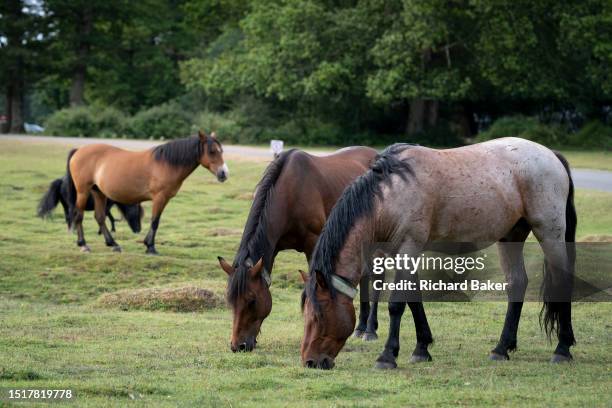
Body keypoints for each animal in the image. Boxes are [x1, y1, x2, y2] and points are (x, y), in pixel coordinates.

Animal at [66, 131, 230, 253]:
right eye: (211, 151)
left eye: (221, 151)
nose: (224, 173)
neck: (166, 163)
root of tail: (78, 150)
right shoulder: (159, 198)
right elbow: (155, 221)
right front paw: (150, 247)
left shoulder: (164, 199)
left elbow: (155, 221)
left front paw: (148, 244)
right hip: (83, 191)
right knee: (79, 215)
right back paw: (83, 244)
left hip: (98, 192)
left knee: (99, 217)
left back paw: (113, 244)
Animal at [215, 147, 378, 354]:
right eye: (230, 301)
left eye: (252, 301)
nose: (238, 346)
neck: (290, 192)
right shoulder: (273, 247)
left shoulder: (314, 245)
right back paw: (361, 327)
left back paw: (370, 330)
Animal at [304, 138, 576, 370]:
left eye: (318, 316)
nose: (310, 361)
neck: (392, 194)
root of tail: (551, 155)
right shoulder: (402, 253)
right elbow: (414, 300)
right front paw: (421, 348)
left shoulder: (409, 248)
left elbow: (396, 304)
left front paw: (387, 356)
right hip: (511, 236)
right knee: (517, 283)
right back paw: (502, 348)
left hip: (548, 233)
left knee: (563, 281)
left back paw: (562, 349)